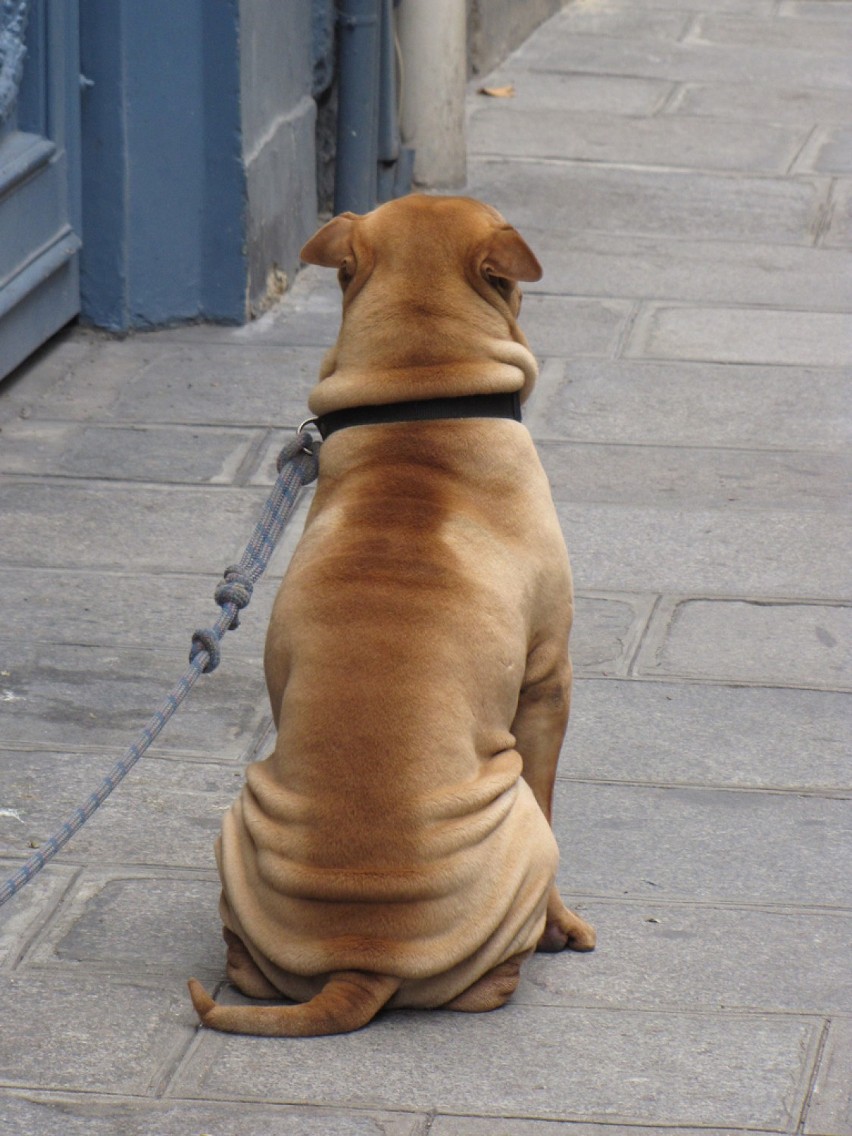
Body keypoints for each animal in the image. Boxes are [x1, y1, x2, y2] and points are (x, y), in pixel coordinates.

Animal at [189, 197, 595, 1040]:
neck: (420, 401)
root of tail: (360, 961)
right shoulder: (550, 680)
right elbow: (552, 791)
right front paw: (563, 926)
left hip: (241, 823)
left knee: (242, 960)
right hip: (521, 827)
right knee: (496, 966)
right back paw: (522, 958)